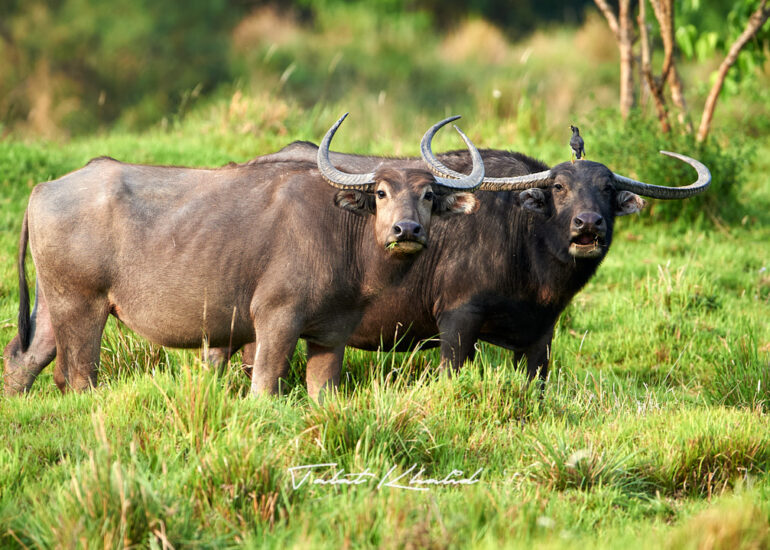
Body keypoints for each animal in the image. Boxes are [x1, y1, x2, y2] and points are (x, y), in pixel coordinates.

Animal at [2, 115, 486, 400]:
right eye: (381, 193)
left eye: (428, 195)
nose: (407, 231)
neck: (344, 232)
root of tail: (43, 188)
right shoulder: (275, 319)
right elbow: (264, 386)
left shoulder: (331, 334)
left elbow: (322, 392)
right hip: (82, 306)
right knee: (77, 375)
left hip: (54, 306)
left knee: (23, 359)